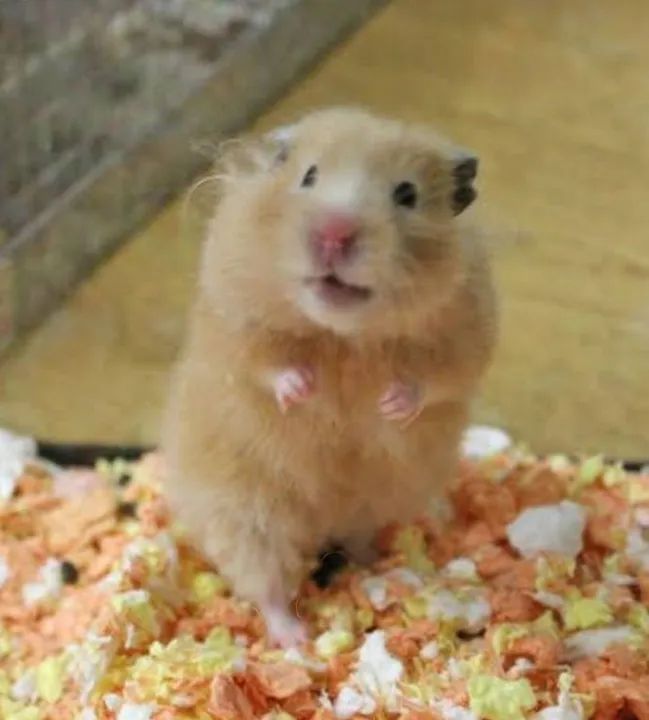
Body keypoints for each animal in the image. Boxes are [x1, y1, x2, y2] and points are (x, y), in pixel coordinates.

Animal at [162, 107, 497, 647]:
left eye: (407, 194)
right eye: (309, 176)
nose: (335, 235)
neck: (343, 336)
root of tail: (323, 522)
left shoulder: (468, 330)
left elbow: (435, 379)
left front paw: (390, 403)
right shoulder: (232, 313)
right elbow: (263, 363)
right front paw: (303, 389)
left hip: (373, 503)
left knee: (356, 541)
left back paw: (375, 570)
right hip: (248, 514)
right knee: (267, 585)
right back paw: (295, 639)